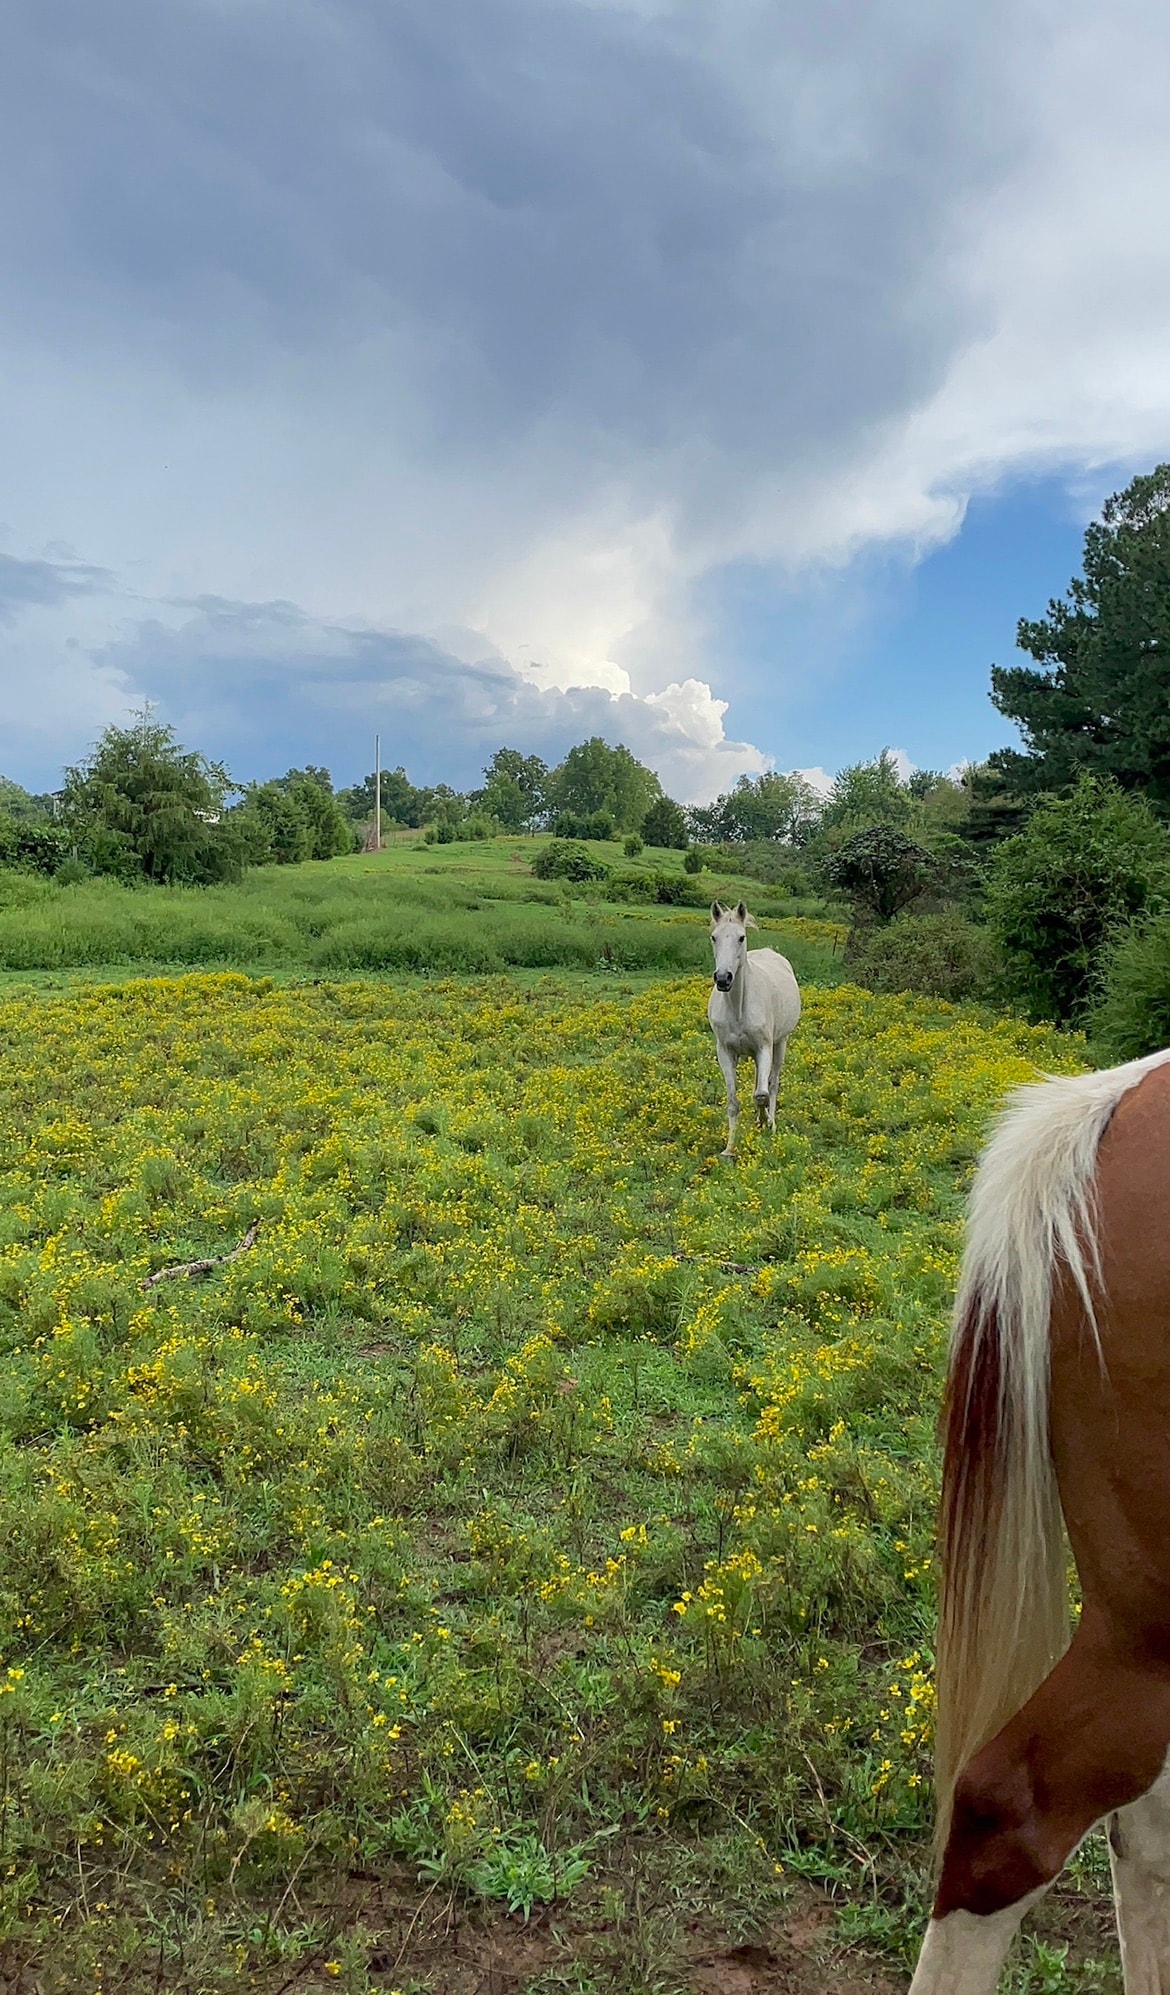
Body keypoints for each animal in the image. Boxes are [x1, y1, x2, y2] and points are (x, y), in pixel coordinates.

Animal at [706, 901, 798, 1165]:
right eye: (714, 937)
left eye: (741, 937)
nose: (723, 979)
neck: (738, 1007)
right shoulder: (725, 1053)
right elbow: (733, 1101)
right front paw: (729, 1149)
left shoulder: (764, 1047)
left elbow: (761, 1095)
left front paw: (766, 1122)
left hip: (780, 1043)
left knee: (772, 1084)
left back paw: (770, 1122)